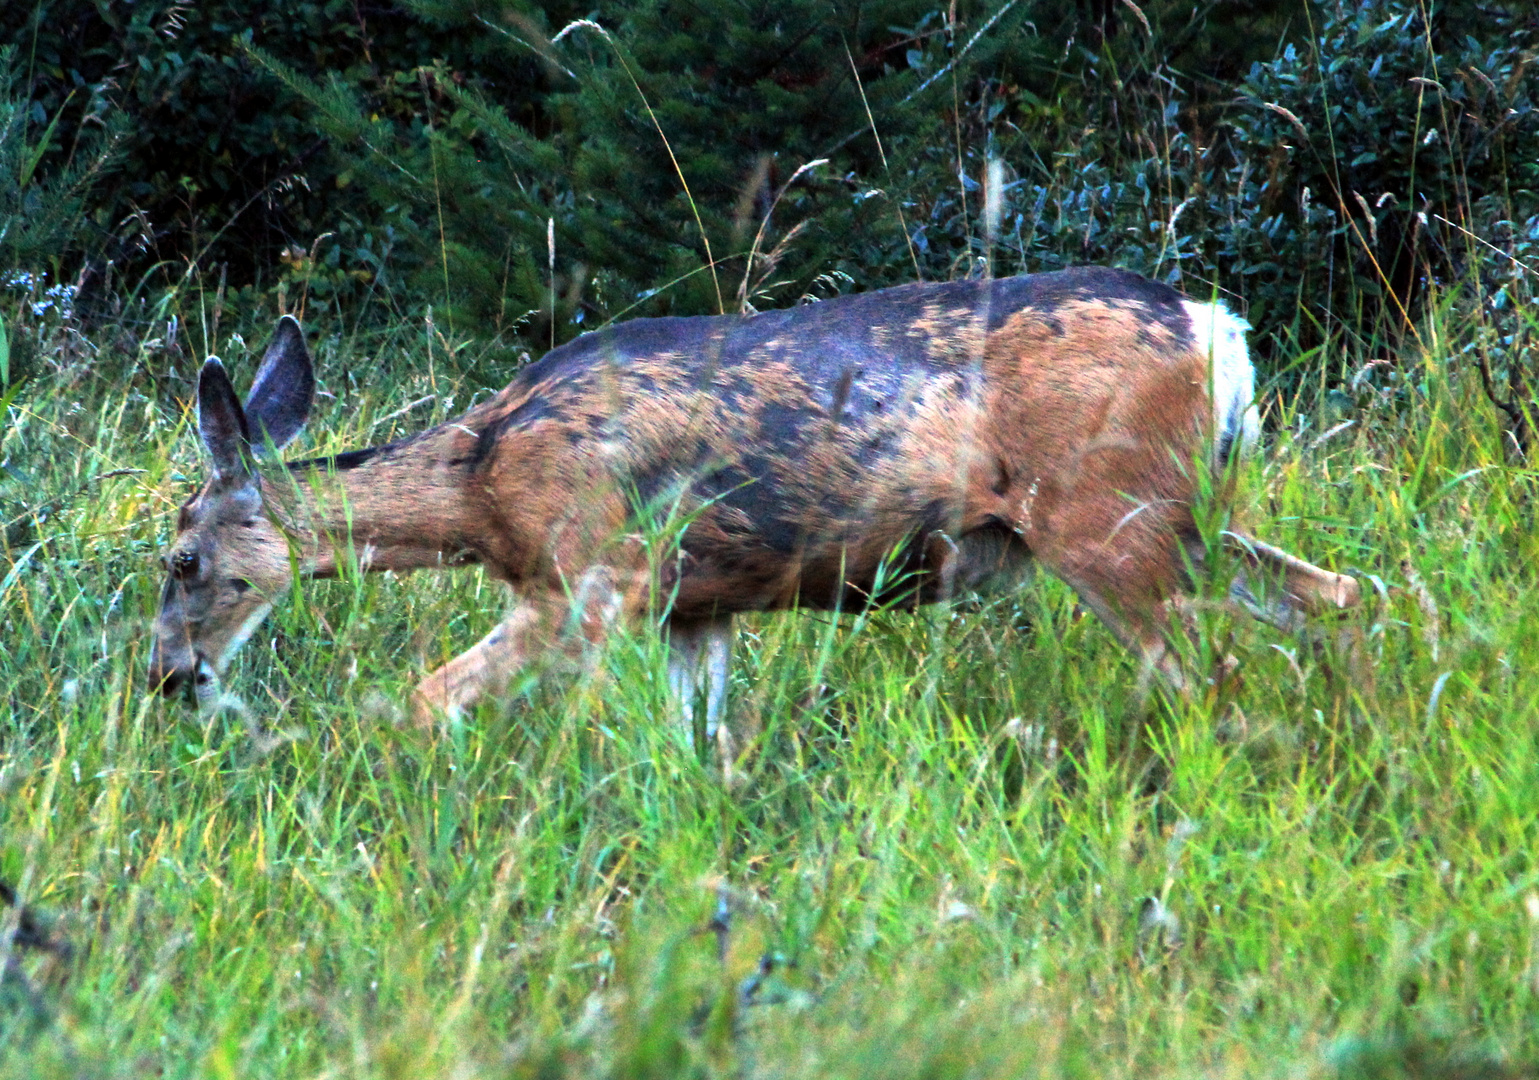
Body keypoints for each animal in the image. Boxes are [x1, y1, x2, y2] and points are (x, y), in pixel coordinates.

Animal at [150, 269, 1360, 744]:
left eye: (181, 559)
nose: (170, 678)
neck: (480, 483)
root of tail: (1215, 329)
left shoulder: (590, 573)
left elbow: (428, 698)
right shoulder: (698, 607)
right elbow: (700, 742)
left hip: (1107, 519)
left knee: (1211, 667)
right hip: (1184, 514)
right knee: (1333, 593)